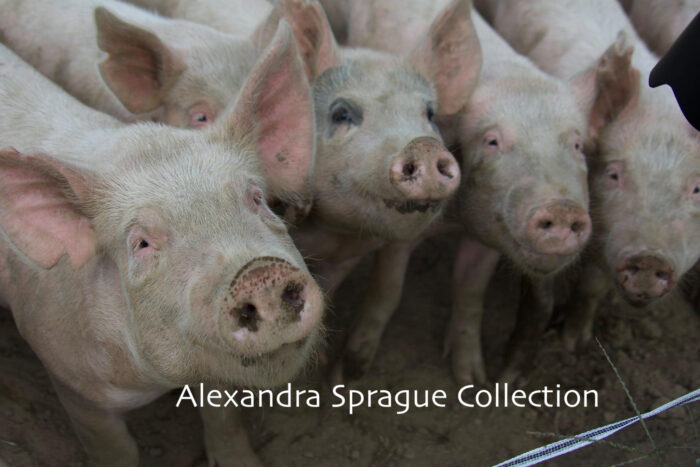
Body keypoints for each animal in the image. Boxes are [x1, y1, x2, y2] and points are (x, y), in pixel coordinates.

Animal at [0, 23, 322, 466]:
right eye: (141, 243)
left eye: (256, 198)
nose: (260, 274)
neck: (154, 380)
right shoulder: (69, 378)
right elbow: (115, 449)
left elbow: (223, 418)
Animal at [482, 0, 700, 352]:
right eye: (613, 174)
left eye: (697, 188)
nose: (650, 258)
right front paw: (551, 345)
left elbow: (592, 286)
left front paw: (576, 342)